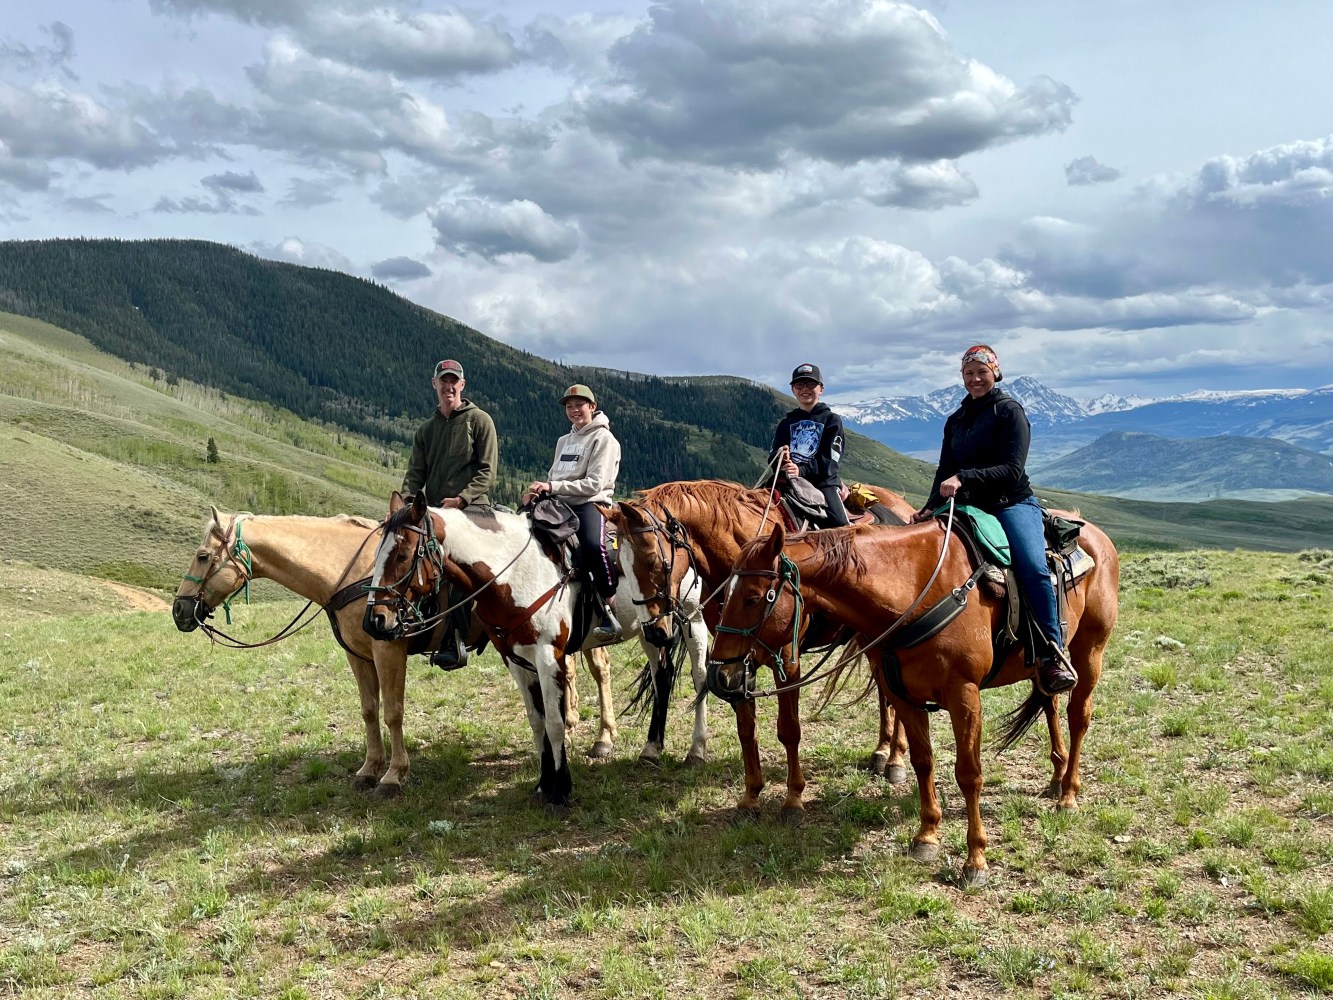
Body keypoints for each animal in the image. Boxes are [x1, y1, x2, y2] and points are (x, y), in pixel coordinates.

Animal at [167, 509, 618, 800]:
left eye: (203, 556)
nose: (179, 611)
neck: (352, 573)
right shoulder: (358, 654)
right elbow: (369, 711)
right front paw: (369, 769)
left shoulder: (388, 649)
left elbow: (393, 712)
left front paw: (394, 775)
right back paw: (573, 725)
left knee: (598, 670)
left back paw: (602, 738)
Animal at [602, 482, 917, 784]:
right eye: (619, 567)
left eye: (654, 560)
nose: (655, 633)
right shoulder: (733, 658)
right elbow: (746, 723)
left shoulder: (786, 658)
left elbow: (788, 726)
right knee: (884, 691)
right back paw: (881, 751)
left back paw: (894, 760)